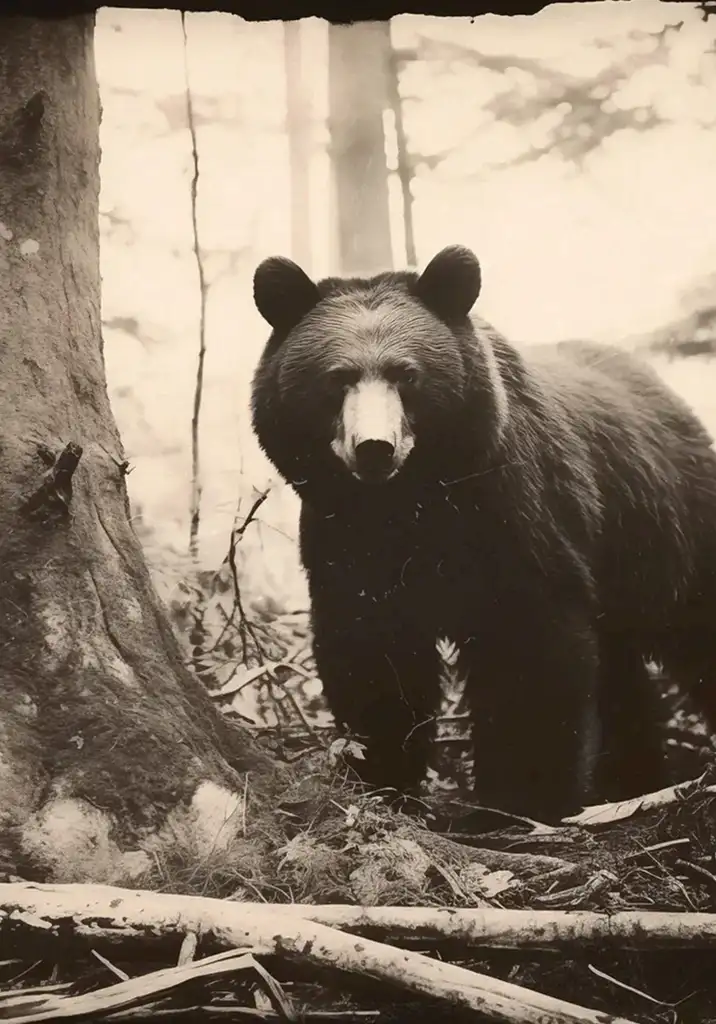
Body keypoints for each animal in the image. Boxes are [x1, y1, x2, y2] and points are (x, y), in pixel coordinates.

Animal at [250, 244, 716, 822]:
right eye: (337, 379)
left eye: (407, 375)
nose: (375, 448)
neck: (410, 502)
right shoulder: (346, 539)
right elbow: (372, 655)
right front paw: (383, 780)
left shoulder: (513, 513)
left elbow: (527, 651)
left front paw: (520, 800)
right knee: (620, 672)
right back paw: (633, 782)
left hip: (668, 529)